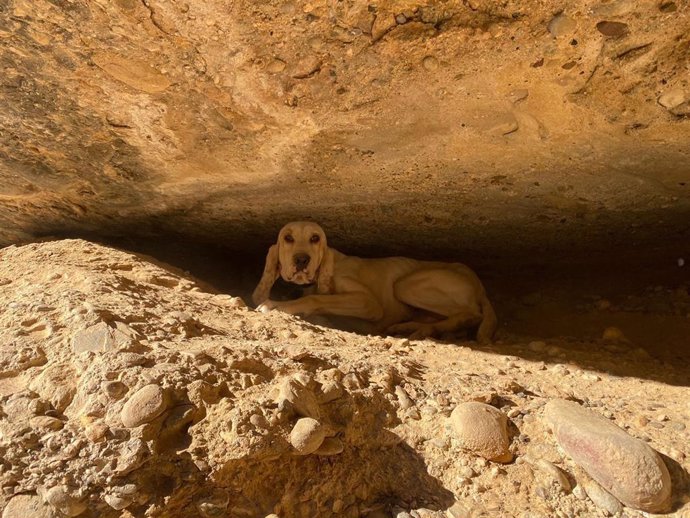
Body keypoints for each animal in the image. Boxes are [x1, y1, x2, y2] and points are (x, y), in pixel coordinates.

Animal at [251, 221, 494, 344]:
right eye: (288, 238)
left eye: (315, 238)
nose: (302, 260)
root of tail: (479, 285)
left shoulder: (368, 303)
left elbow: (315, 298)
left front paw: (276, 305)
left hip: (404, 285)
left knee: (473, 314)